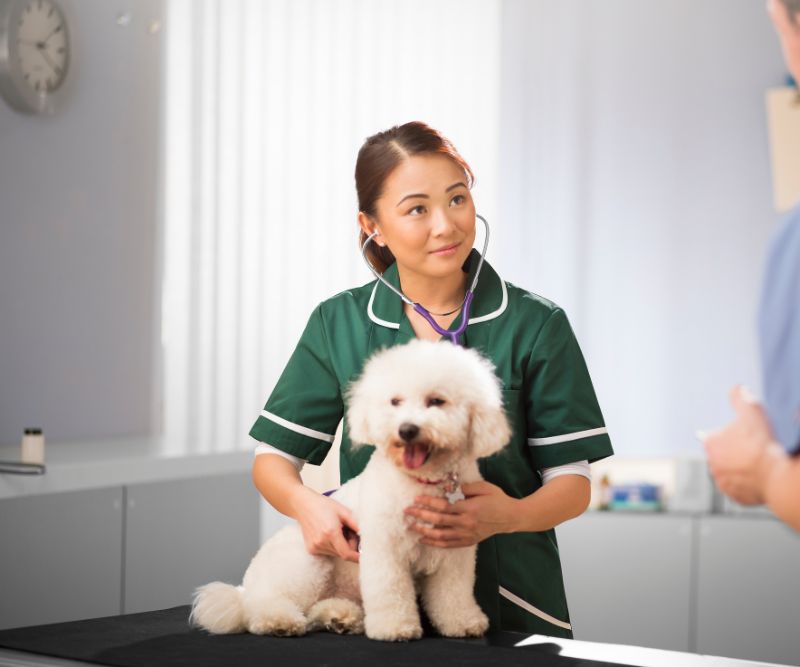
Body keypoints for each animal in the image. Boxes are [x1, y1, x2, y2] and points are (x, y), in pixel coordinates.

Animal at [191, 342, 510, 644]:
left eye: (437, 401)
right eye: (395, 401)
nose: (406, 429)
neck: (425, 480)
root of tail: (244, 588)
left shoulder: (455, 552)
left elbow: (454, 594)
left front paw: (463, 623)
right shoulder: (385, 549)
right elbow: (390, 593)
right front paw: (394, 628)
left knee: (320, 608)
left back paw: (340, 617)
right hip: (307, 562)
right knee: (261, 606)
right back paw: (279, 621)